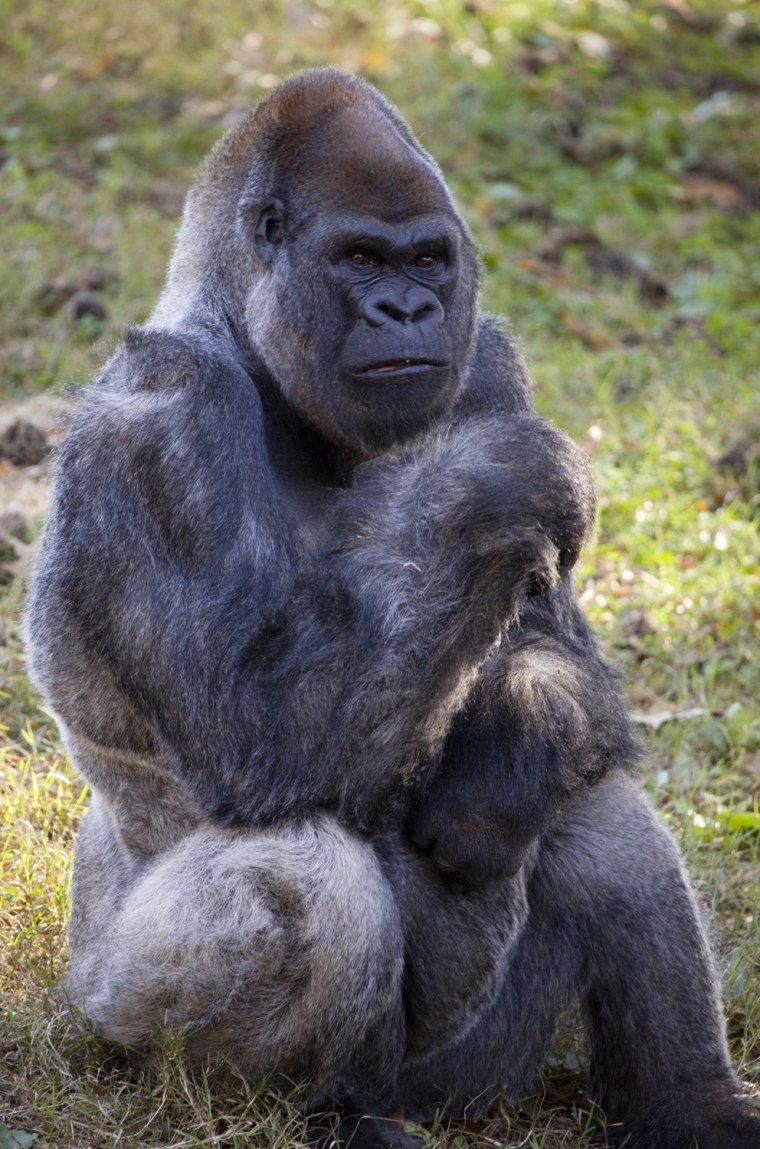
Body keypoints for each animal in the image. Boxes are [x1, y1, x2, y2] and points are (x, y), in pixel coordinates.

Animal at [26, 71, 754, 1149]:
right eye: (360, 258)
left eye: (427, 262)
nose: (406, 306)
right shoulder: (159, 418)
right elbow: (251, 737)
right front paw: (496, 480)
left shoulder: (488, 359)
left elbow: (556, 658)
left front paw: (507, 748)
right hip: (121, 1019)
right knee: (300, 884)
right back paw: (318, 1109)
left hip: (468, 1071)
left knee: (591, 800)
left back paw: (691, 1101)